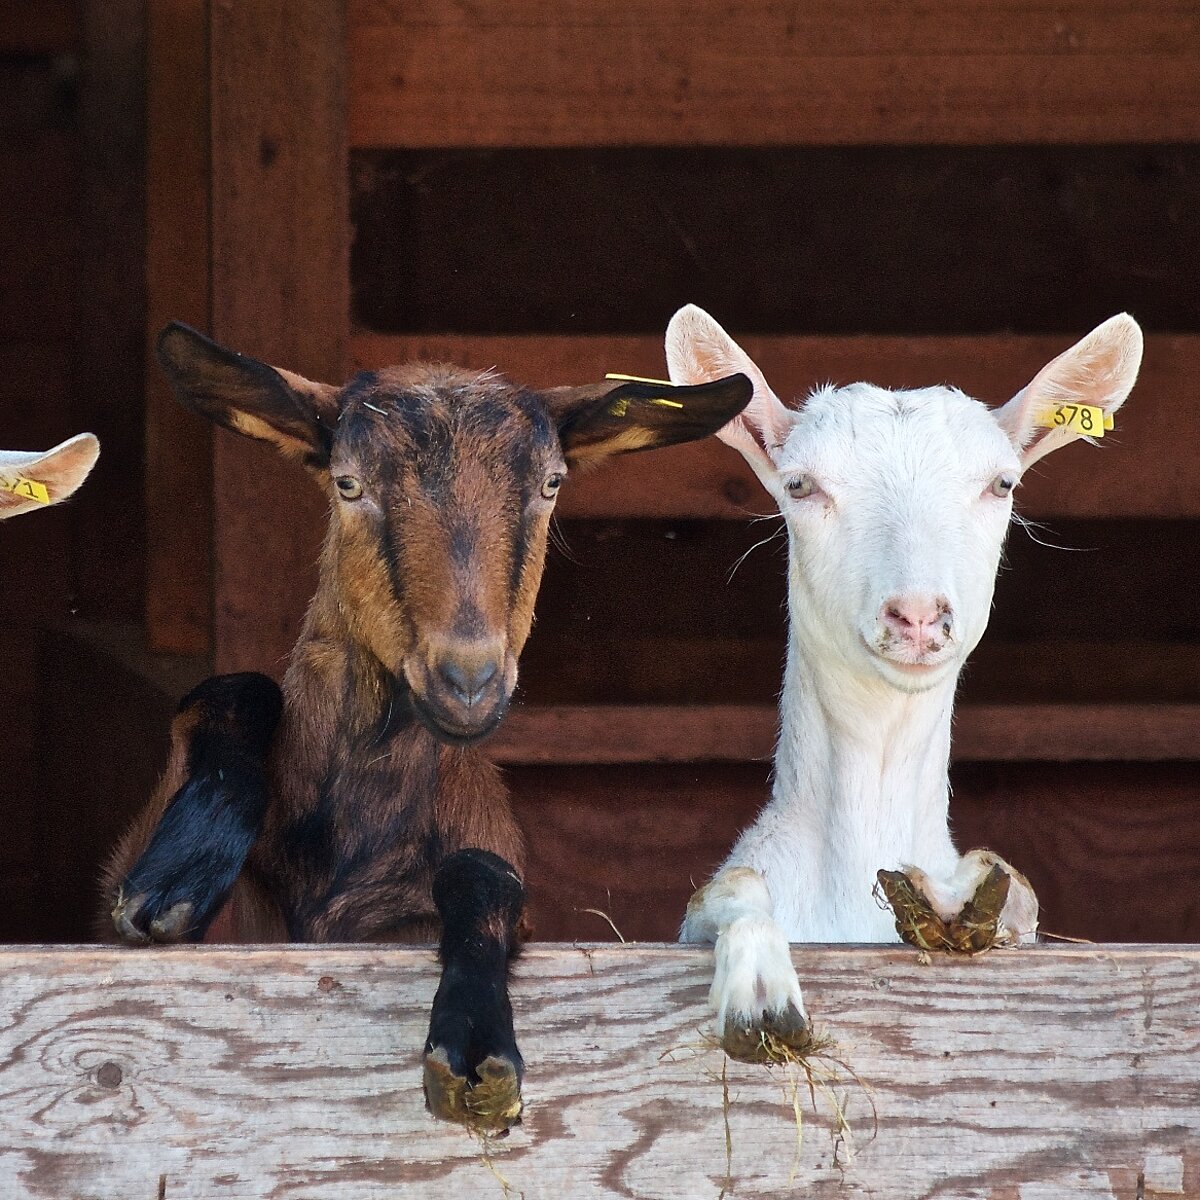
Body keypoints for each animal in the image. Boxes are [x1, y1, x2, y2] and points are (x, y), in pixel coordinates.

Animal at [101, 322, 751, 1127]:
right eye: (347, 483)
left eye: (551, 484)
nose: (467, 681)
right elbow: (232, 690)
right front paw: (179, 875)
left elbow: (486, 875)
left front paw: (475, 1045)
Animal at [666, 305, 1142, 1058]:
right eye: (800, 485)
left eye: (1002, 484)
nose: (917, 614)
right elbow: (729, 888)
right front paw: (761, 995)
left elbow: (1015, 888)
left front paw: (954, 897)